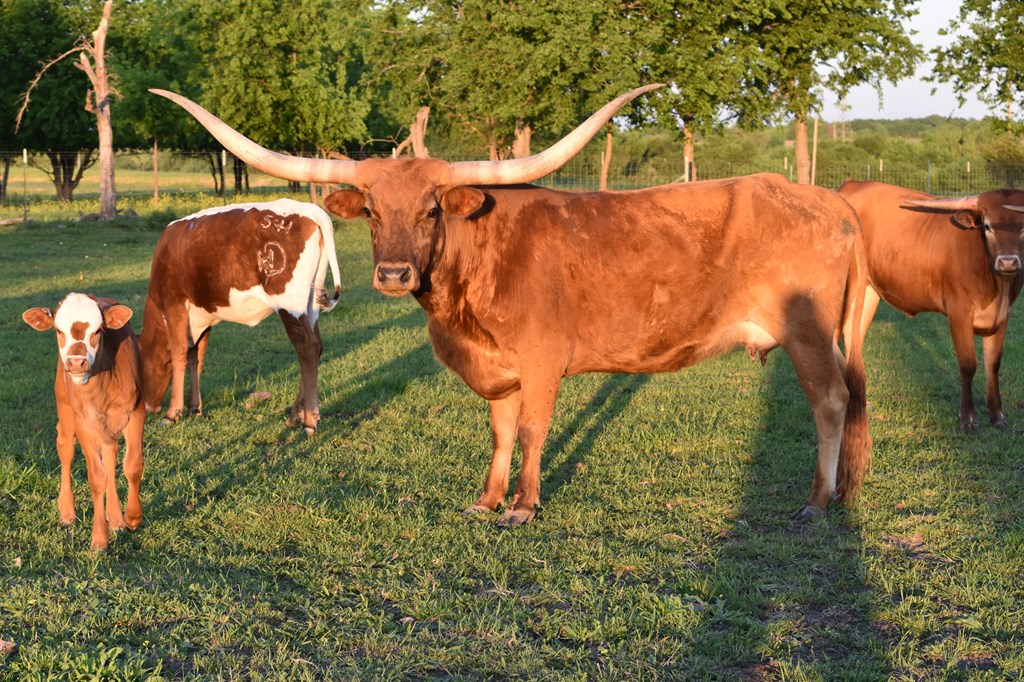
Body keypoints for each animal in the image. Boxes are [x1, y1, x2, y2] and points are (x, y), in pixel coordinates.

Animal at [22, 293, 145, 550]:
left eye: (98, 330)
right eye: (58, 330)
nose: (76, 362)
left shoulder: (137, 410)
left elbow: (132, 465)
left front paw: (131, 518)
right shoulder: (83, 422)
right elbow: (97, 478)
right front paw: (99, 537)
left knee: (110, 454)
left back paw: (116, 518)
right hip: (64, 405)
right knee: (65, 448)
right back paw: (67, 512)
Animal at [139, 198, 342, 437]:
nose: (148, 407)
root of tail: (310, 209)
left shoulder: (174, 305)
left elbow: (179, 354)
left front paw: (172, 414)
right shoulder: (201, 317)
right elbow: (195, 358)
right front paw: (194, 408)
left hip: (290, 303)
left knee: (307, 348)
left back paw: (309, 423)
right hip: (311, 304)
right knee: (316, 347)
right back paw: (295, 416)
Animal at [839, 180, 1024, 431]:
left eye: (1023, 227)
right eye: (987, 226)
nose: (1007, 262)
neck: (998, 287)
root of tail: (853, 184)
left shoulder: (1003, 315)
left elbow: (993, 363)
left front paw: (997, 416)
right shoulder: (959, 312)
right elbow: (968, 364)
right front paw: (968, 419)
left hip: (868, 291)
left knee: (853, 335)